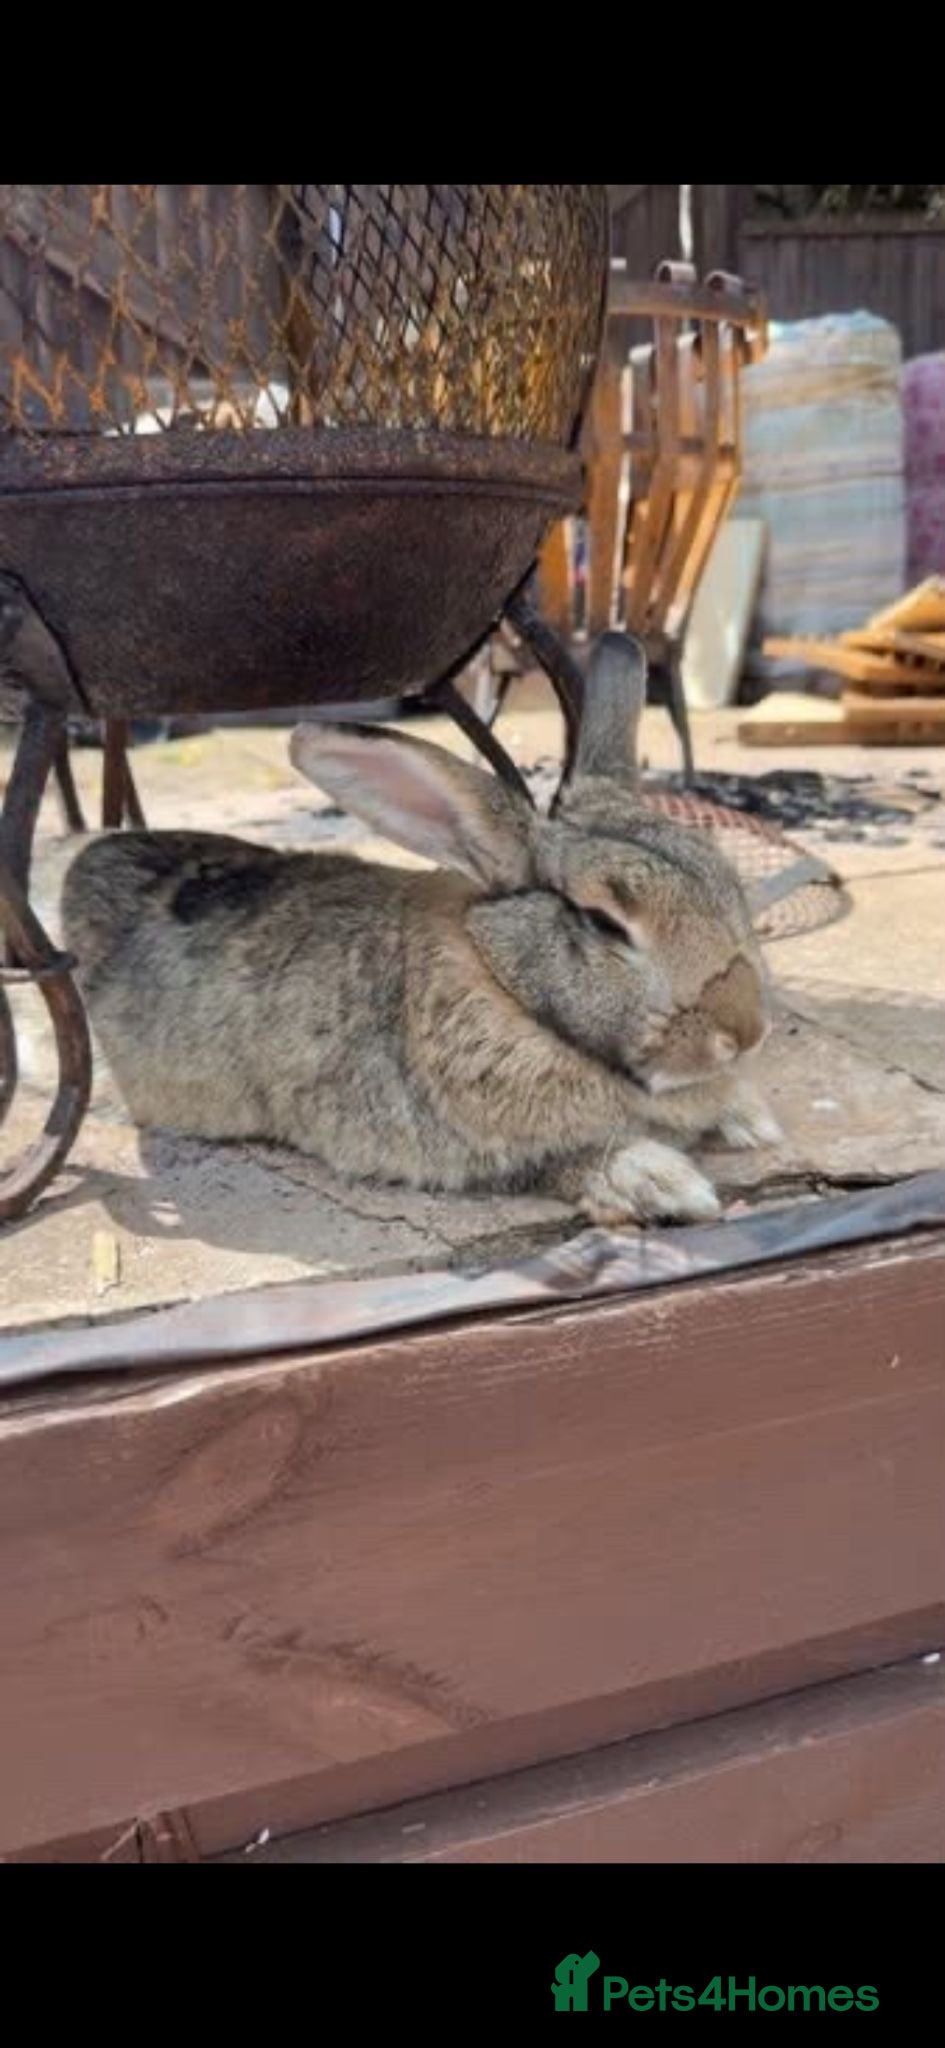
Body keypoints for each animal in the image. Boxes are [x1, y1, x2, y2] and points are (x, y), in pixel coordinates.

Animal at [61, 634, 781, 1226]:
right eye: (603, 922)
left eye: (724, 877)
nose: (745, 1031)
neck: (502, 982)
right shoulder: (469, 1151)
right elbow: (563, 1163)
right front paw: (667, 1184)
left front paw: (751, 1121)